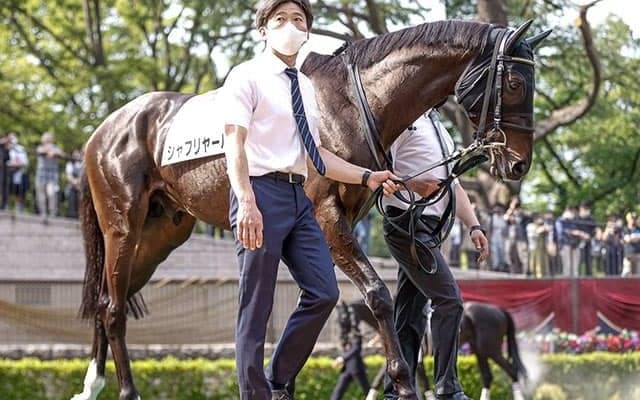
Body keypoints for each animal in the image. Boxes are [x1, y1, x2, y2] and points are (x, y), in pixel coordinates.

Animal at [350, 300, 528, 400]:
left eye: (346, 317)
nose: (347, 340)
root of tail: (499, 310)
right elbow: (379, 378)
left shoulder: (416, 358)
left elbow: (424, 383)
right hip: (480, 351)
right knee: (487, 376)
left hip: (491, 350)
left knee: (512, 370)